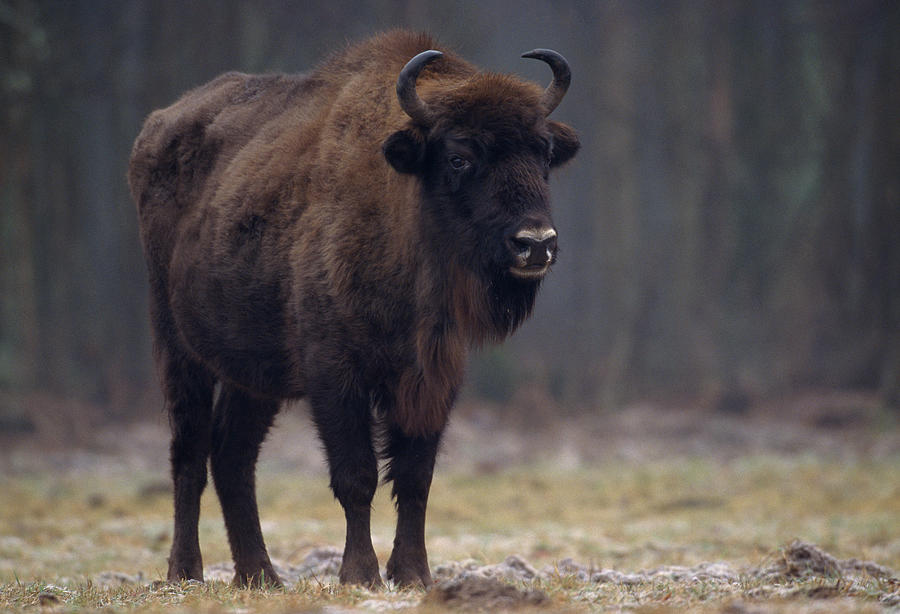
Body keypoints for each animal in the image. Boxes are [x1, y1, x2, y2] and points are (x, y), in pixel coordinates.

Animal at [126, 31, 580, 588]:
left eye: (543, 154)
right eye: (459, 157)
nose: (535, 244)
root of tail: (156, 127)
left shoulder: (433, 377)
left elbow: (415, 477)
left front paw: (413, 574)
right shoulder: (335, 375)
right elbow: (356, 476)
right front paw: (360, 574)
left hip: (251, 376)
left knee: (232, 456)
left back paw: (261, 575)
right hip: (178, 347)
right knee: (189, 451)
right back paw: (185, 571)